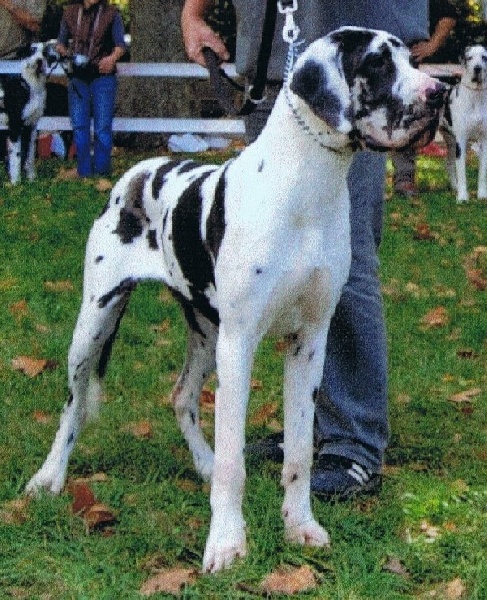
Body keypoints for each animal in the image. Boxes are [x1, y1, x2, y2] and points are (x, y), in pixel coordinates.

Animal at [0, 43, 47, 184]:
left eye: (44, 52)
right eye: (31, 51)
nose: (39, 61)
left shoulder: (31, 126)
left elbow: (30, 155)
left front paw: (31, 179)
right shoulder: (15, 127)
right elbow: (16, 156)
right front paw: (16, 182)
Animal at [26, 27, 445, 572]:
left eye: (411, 59)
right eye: (376, 65)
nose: (439, 92)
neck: (307, 188)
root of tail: (135, 175)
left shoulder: (310, 343)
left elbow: (298, 452)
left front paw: (300, 527)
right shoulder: (240, 343)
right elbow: (234, 462)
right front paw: (226, 543)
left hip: (207, 333)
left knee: (182, 396)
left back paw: (199, 463)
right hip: (96, 322)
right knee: (72, 406)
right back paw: (49, 477)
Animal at [440, 45, 487, 203]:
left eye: (484, 57)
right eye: (469, 58)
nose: (477, 68)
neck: (476, 97)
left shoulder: (484, 140)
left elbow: (483, 172)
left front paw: (482, 195)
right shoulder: (461, 141)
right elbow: (462, 173)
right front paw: (462, 197)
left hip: (450, 141)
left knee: (449, 164)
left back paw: (453, 187)